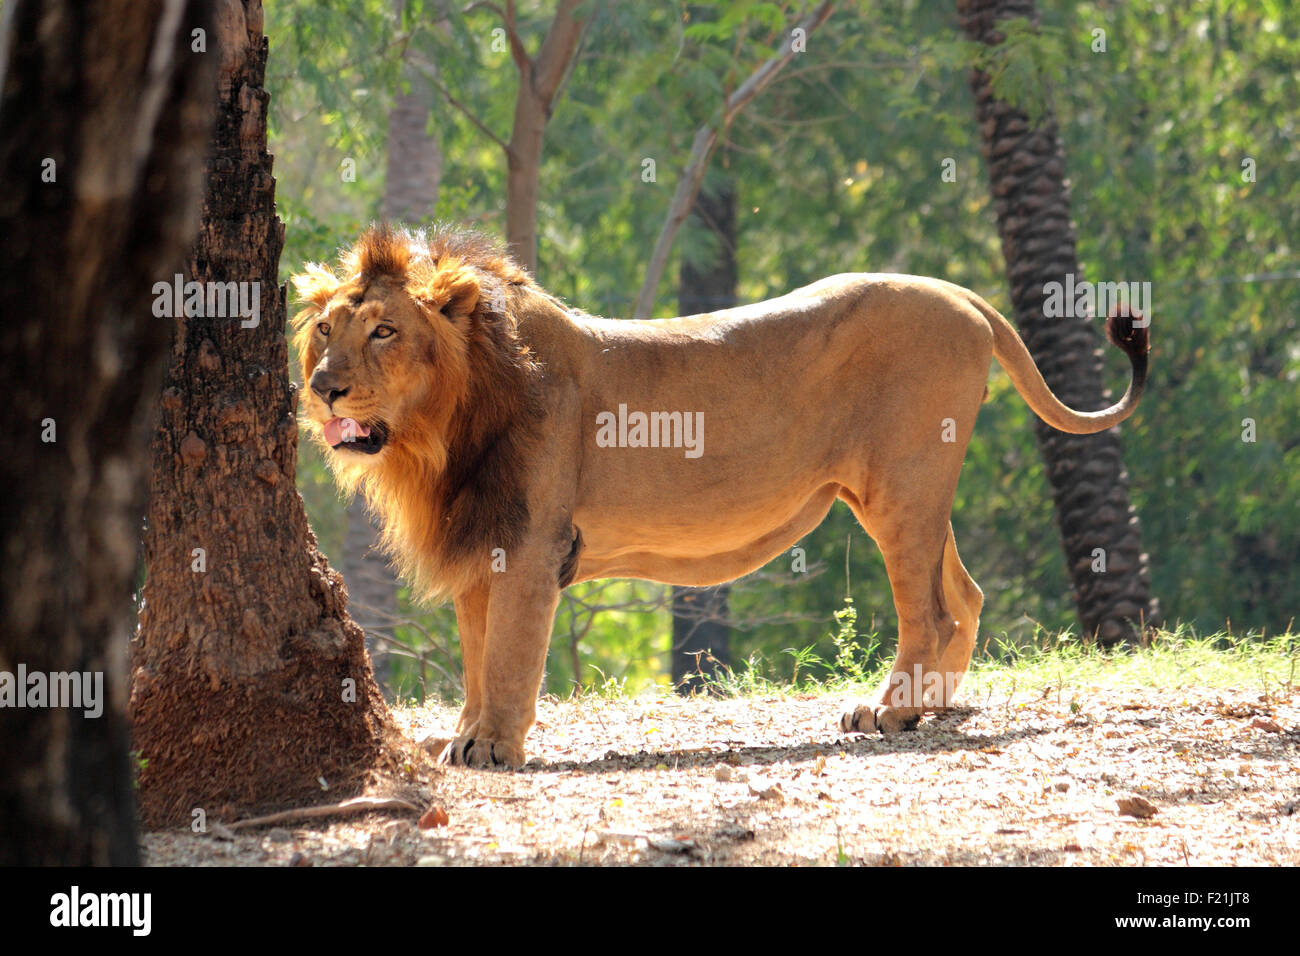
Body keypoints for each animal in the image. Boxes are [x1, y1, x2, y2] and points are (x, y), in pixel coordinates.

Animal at [292, 223, 1149, 770]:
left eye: (384, 332)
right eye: (328, 329)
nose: (322, 387)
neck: (442, 433)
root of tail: (966, 298)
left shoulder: (533, 544)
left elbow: (507, 656)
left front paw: (493, 747)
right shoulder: (485, 542)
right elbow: (476, 657)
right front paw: (464, 736)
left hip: (902, 485)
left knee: (933, 609)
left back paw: (893, 710)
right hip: (902, 491)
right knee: (964, 594)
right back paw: (929, 705)